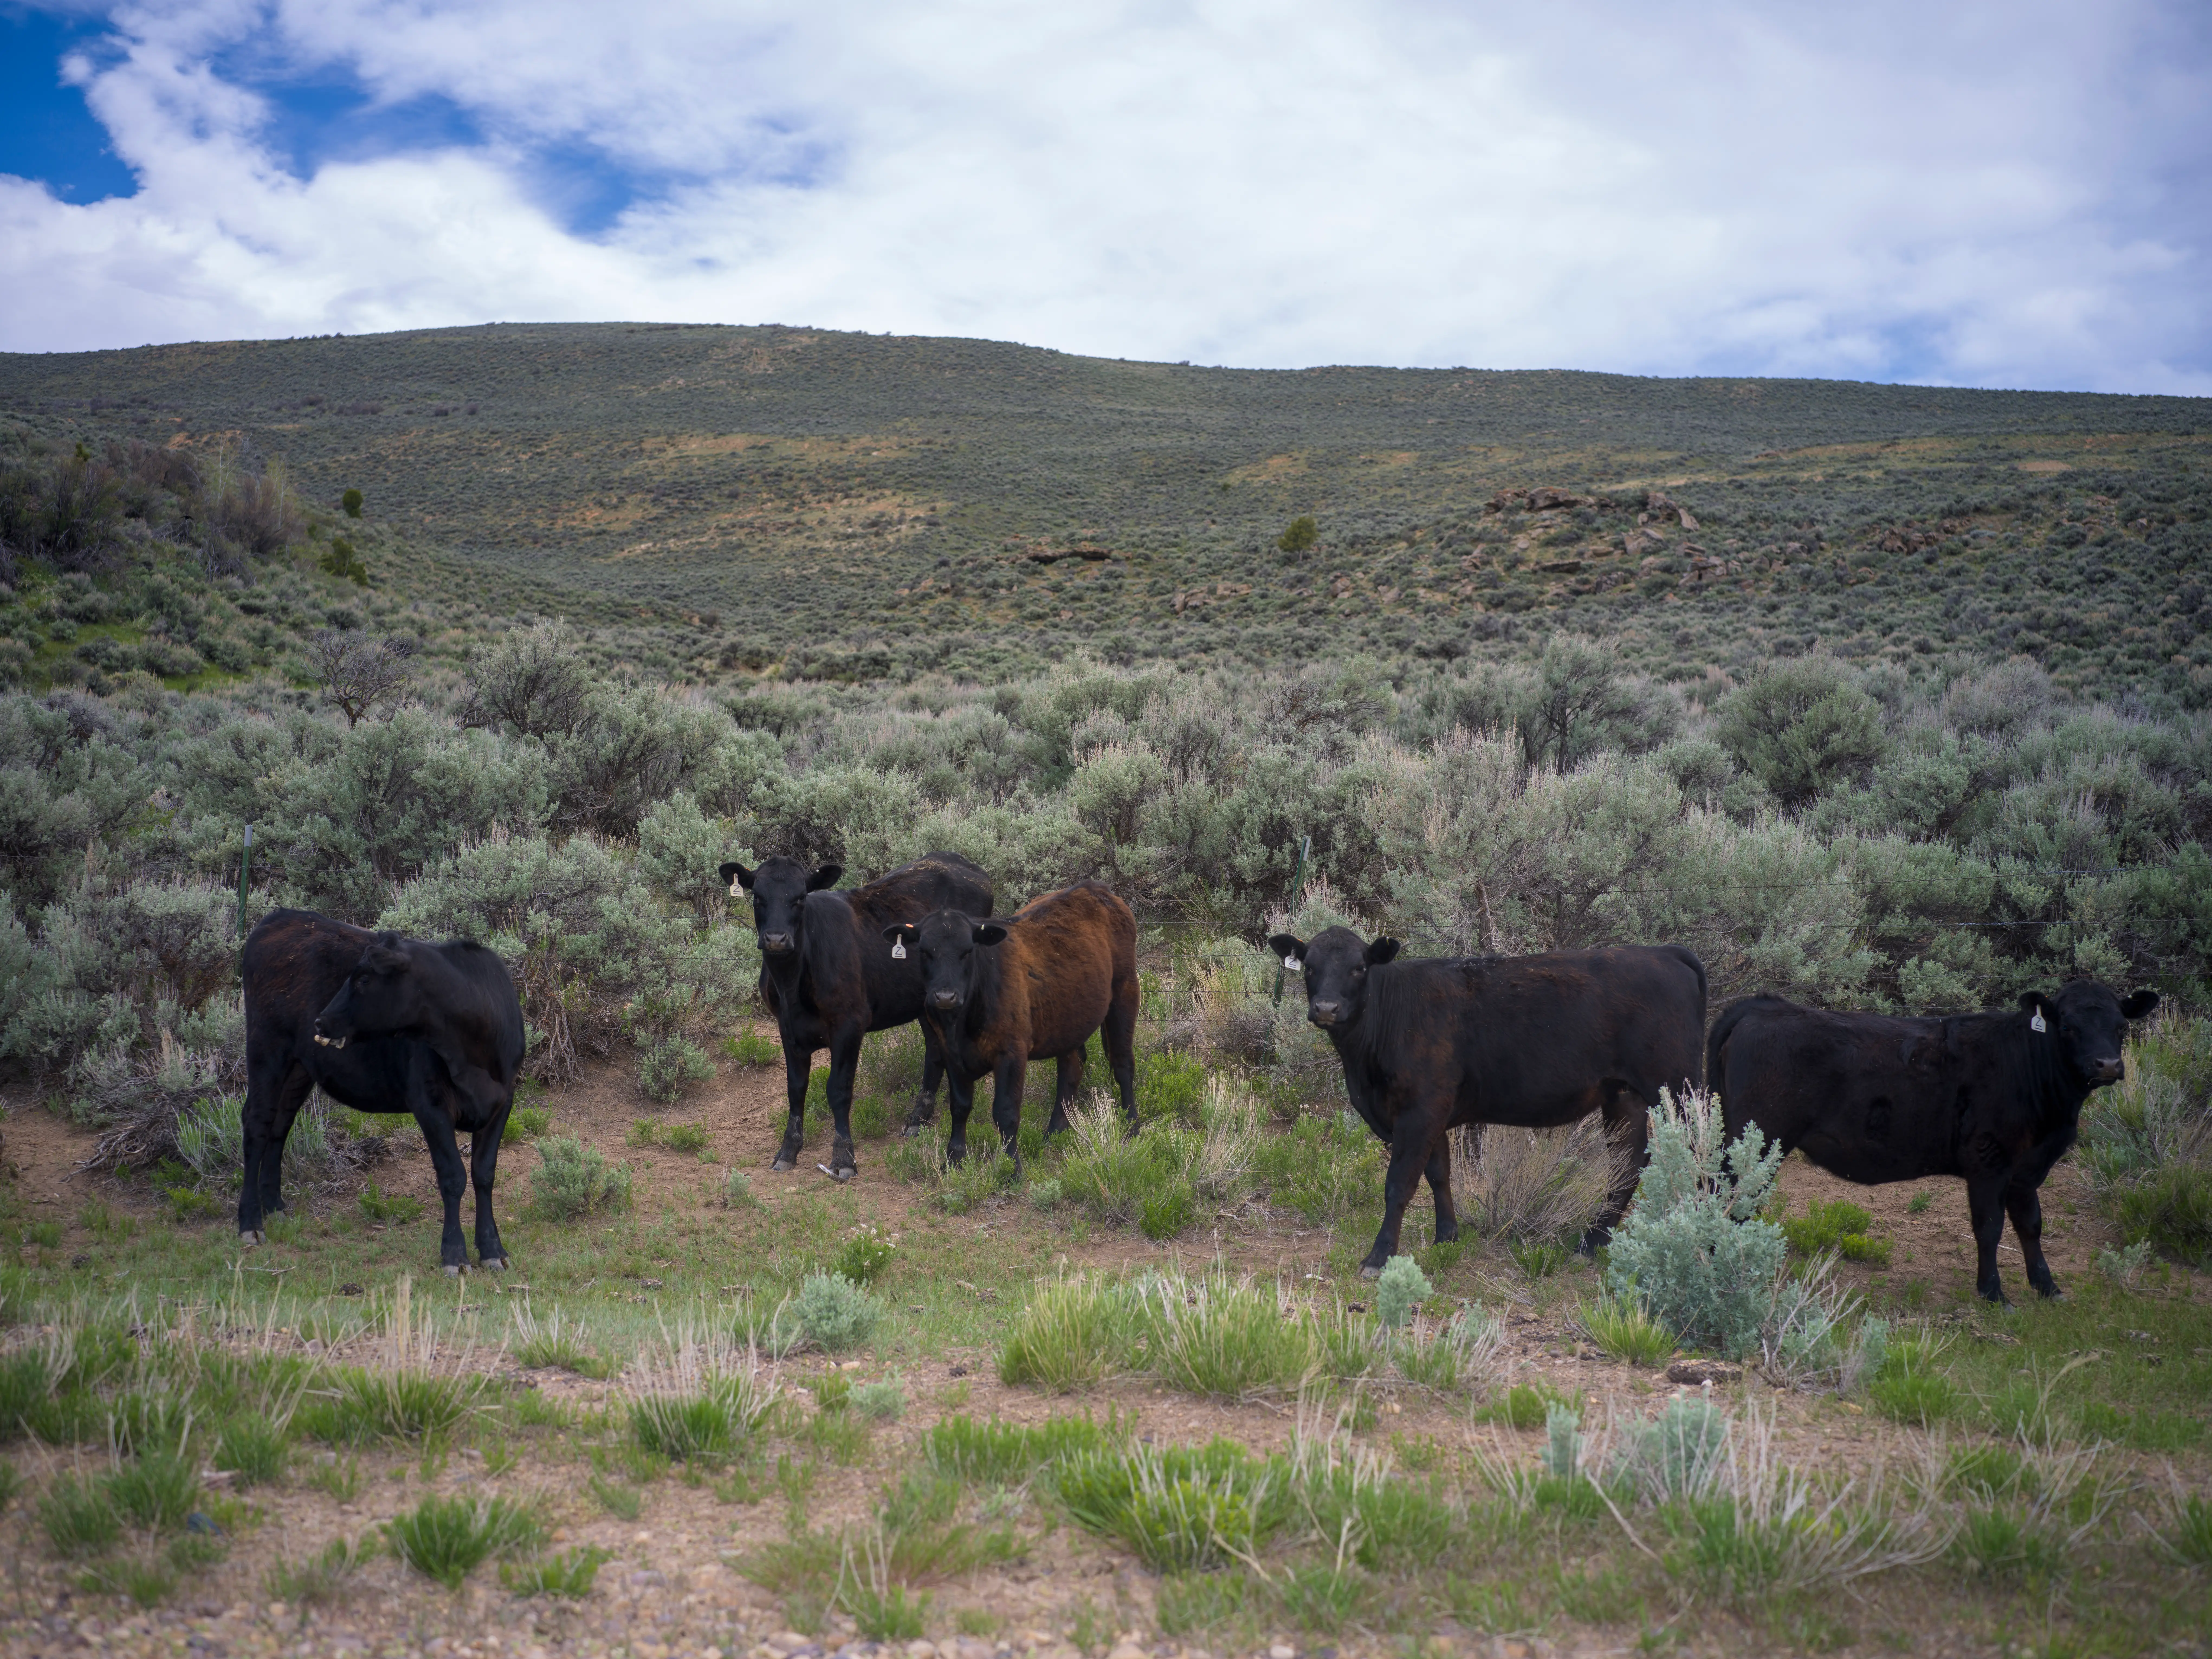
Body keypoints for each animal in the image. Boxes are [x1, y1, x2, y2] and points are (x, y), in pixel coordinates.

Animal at [242, 908, 524, 1273]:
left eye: (363, 980)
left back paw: (275, 1207)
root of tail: (282, 917)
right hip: (266, 1049)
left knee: (280, 1125)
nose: (321, 1021)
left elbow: (484, 1173)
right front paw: (454, 1254)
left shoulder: (503, 1101)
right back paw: (250, 1222)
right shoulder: (430, 1105)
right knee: (257, 1125)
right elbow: (453, 1177)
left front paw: (492, 1249)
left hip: (299, 1066)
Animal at [720, 851, 993, 1179]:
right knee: (935, 1051)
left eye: (801, 898)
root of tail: (957, 861)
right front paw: (788, 1151)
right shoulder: (786, 1028)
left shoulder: (849, 1024)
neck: (791, 985)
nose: (776, 939)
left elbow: (839, 1090)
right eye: (758, 897)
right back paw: (917, 1120)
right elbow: (795, 1089)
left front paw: (843, 1159)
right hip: (926, 1003)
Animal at [884, 881, 1140, 1166]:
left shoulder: (1012, 1053)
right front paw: (954, 1158)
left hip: (1125, 992)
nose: (945, 996)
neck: (961, 1026)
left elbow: (1005, 1113)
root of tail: (1095, 888)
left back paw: (1132, 1125)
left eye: (968, 951)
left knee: (1122, 1064)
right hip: (1070, 1018)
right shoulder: (951, 1055)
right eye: (925, 951)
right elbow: (960, 1106)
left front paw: (1012, 1166)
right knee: (1072, 1067)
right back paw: (1055, 1130)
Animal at [1267, 927, 1707, 1274]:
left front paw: (1379, 1257)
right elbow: (1439, 1173)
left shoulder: (1419, 1110)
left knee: (1698, 1153)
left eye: (1360, 967)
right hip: (1623, 1094)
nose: (1326, 1007)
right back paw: (1592, 1243)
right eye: (1309, 966)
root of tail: (1664, 952)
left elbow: (1399, 1183)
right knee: (1628, 1165)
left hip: (1679, 1089)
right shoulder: (1433, 1114)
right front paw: (1447, 1237)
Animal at [1707, 980, 2159, 1303]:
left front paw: (2048, 1288)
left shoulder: (2026, 1168)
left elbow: (2031, 1224)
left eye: (2122, 1026)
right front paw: (1994, 1293)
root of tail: (1762, 1005)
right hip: (1758, 1137)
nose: (2107, 1065)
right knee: (1728, 1196)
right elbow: (1990, 1227)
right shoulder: (1989, 1161)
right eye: (2067, 1027)